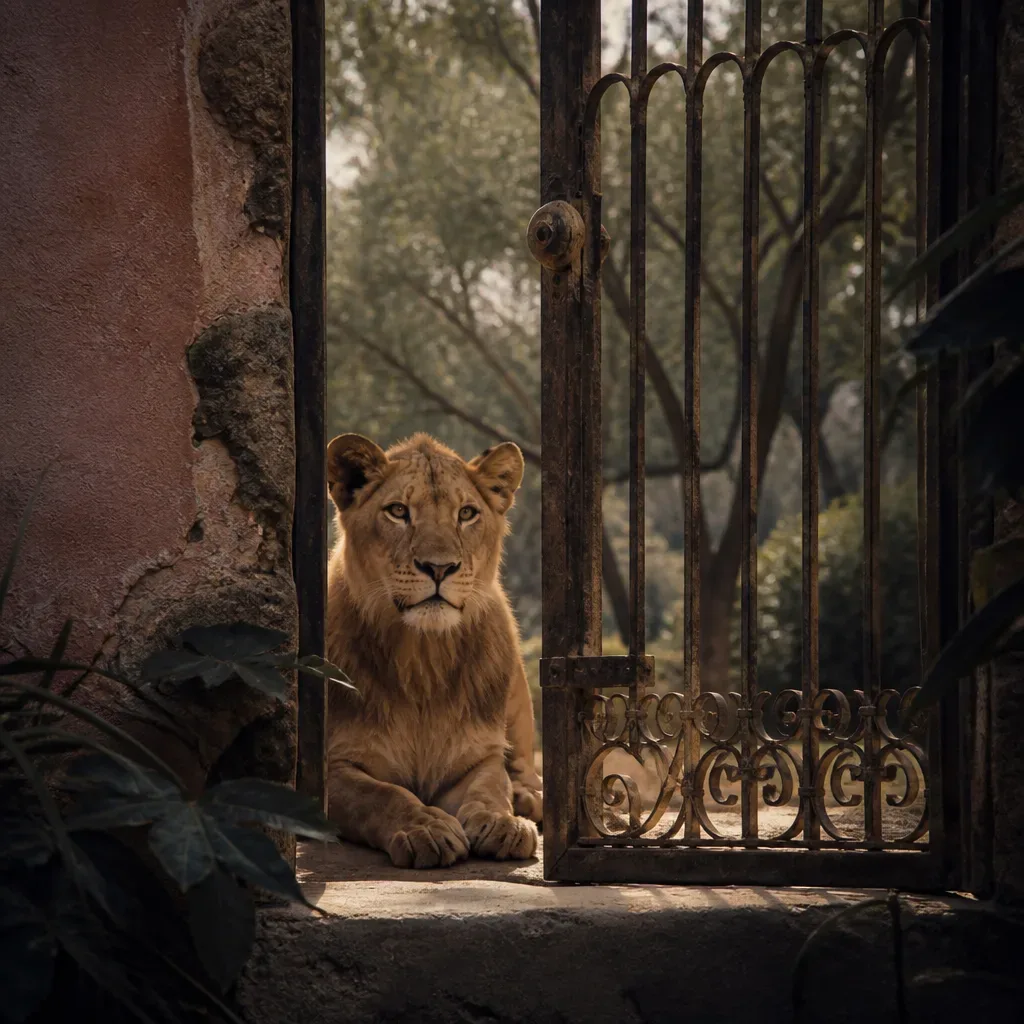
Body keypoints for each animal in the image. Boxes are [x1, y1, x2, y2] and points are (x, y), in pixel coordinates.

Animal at [324, 431, 543, 868]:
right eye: (398, 511)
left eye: (467, 513)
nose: (440, 568)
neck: (422, 656)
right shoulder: (330, 768)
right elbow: (381, 795)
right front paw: (426, 828)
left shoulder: (478, 756)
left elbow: (490, 786)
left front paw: (503, 823)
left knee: (526, 772)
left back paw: (528, 801)